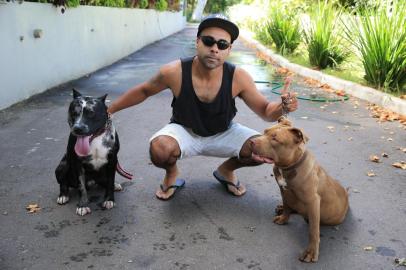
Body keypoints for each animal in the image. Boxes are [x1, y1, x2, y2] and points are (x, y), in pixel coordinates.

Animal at [251, 117, 348, 262]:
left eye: (275, 138)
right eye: (265, 131)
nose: (251, 142)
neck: (288, 166)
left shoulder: (313, 201)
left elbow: (313, 230)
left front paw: (311, 252)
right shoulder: (283, 190)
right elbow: (286, 205)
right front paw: (283, 218)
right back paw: (281, 208)